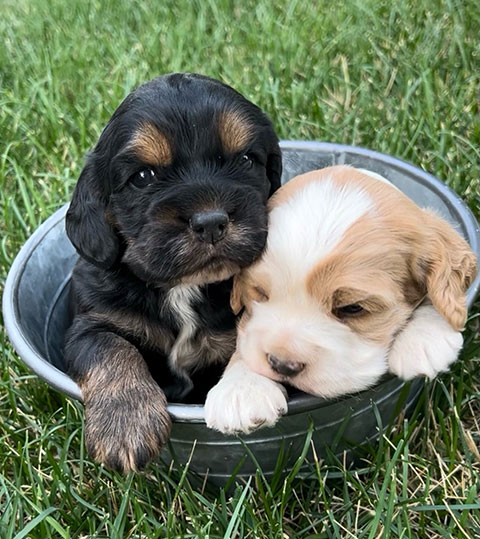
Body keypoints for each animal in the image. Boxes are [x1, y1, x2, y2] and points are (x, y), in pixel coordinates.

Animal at [63, 73, 282, 472]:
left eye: (246, 159)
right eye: (142, 176)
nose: (210, 222)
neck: (182, 287)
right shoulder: (88, 324)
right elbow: (109, 347)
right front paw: (126, 424)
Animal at [205, 165, 476, 434]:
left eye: (352, 308)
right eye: (260, 292)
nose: (283, 365)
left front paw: (423, 339)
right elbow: (246, 341)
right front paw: (241, 389)